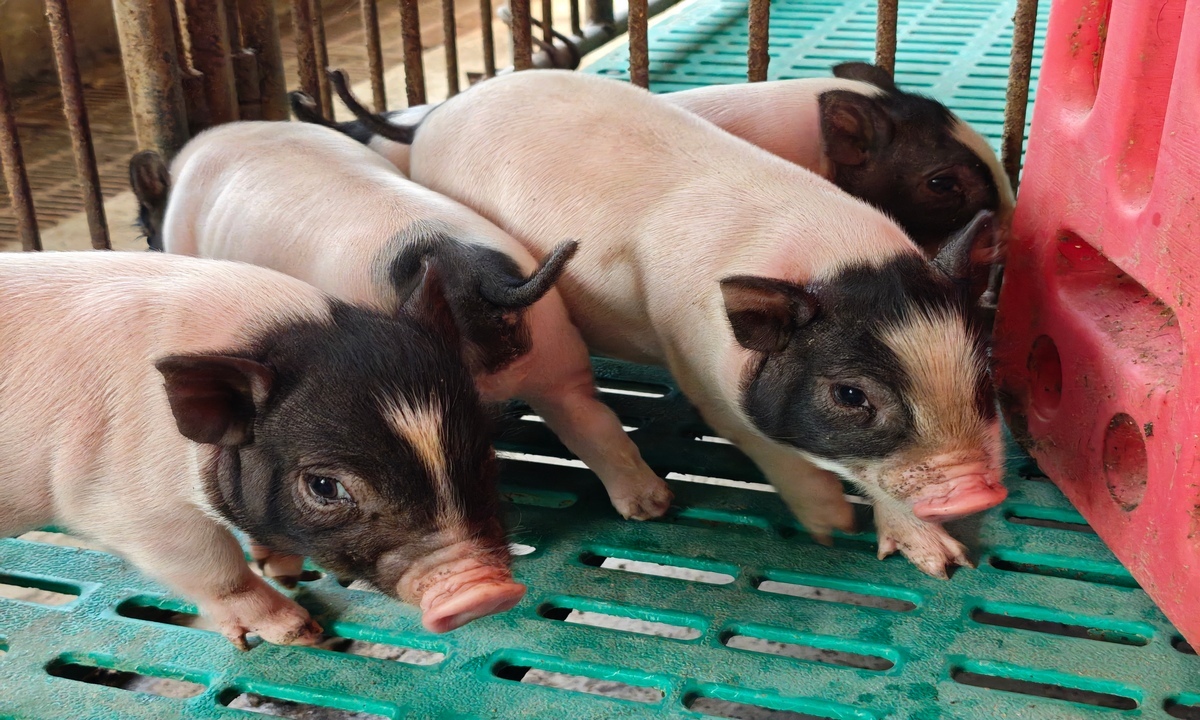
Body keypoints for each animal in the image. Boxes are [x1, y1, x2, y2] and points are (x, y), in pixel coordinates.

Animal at [0, 250, 525, 647]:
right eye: (324, 486)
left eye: (486, 454)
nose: (485, 593)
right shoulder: (127, 506)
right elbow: (217, 567)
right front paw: (300, 632)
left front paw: (284, 570)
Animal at [328, 68, 1007, 578]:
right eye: (849, 394)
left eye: (984, 374)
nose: (980, 493)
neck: (830, 254)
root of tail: (441, 110)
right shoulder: (698, 362)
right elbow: (766, 441)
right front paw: (830, 528)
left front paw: (946, 563)